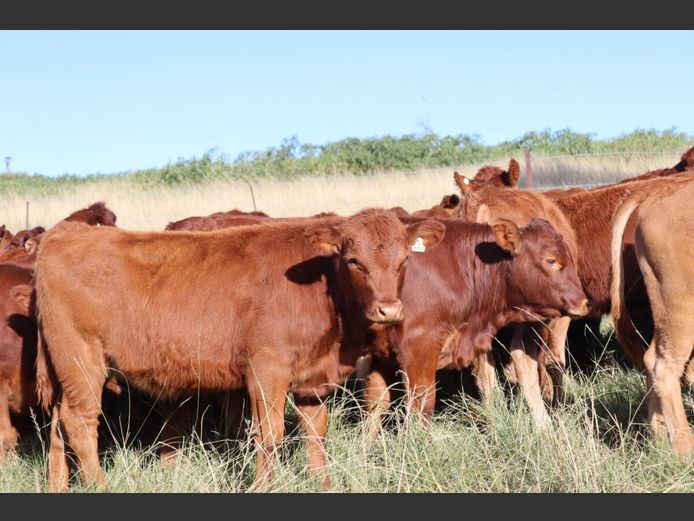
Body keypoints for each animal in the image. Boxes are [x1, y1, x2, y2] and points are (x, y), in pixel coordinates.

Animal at [32, 206, 446, 488]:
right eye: (354, 260)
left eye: (404, 260)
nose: (389, 309)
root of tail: (64, 234)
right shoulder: (266, 369)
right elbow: (269, 434)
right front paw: (267, 486)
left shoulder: (312, 381)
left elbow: (315, 433)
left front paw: (323, 484)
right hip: (82, 360)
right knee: (80, 423)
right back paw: (100, 486)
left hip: (66, 369)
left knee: (58, 427)